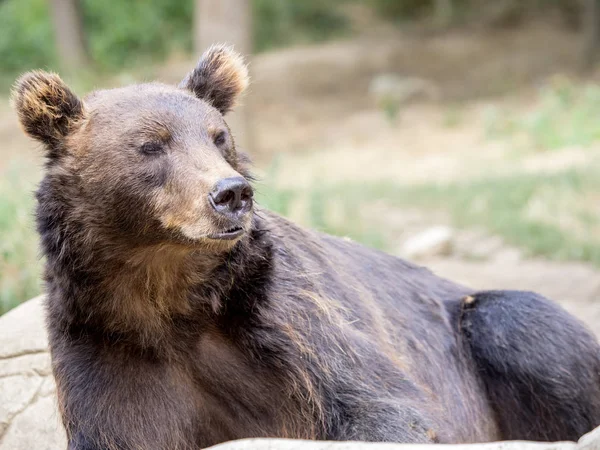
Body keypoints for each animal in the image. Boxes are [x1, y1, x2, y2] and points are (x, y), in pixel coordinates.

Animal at [10, 46, 600, 450]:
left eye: (218, 136)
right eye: (151, 145)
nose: (231, 194)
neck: (167, 294)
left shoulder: (283, 316)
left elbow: (384, 405)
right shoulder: (105, 342)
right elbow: (123, 427)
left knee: (518, 321)